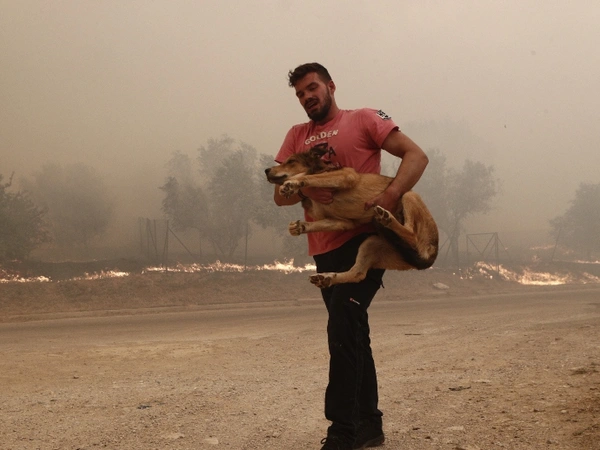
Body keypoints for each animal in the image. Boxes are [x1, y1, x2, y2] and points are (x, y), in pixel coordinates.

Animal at [265, 143, 439, 288]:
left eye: (291, 161)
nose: (266, 170)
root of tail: (431, 255)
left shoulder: (345, 176)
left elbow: (306, 176)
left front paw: (292, 184)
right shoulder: (343, 222)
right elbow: (316, 224)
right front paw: (299, 227)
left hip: (409, 196)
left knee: (411, 234)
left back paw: (387, 218)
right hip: (372, 243)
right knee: (357, 274)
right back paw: (327, 278)